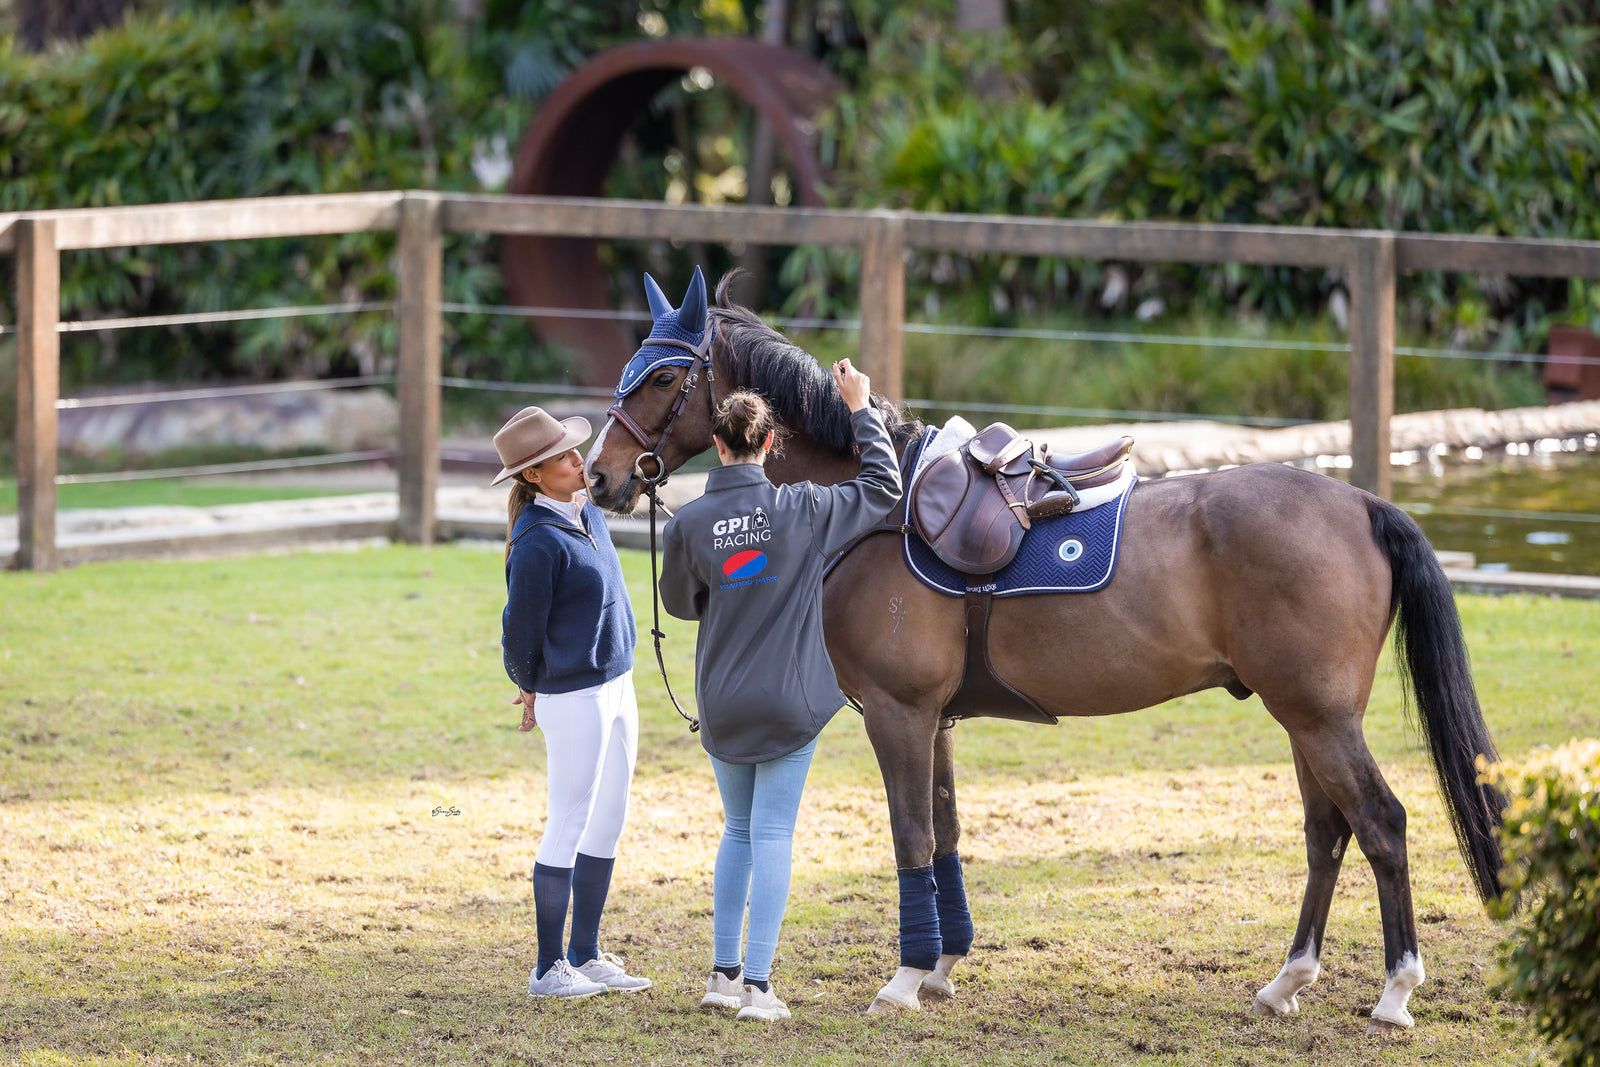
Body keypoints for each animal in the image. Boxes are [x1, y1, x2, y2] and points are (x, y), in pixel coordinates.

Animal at [584, 269, 1505, 1033]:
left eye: (662, 376)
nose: (600, 475)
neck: (877, 508)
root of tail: (1363, 503)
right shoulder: (935, 721)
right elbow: (945, 833)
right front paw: (942, 965)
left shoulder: (897, 714)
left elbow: (910, 836)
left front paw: (904, 978)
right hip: (1306, 718)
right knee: (1328, 831)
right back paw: (1288, 980)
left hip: (1318, 717)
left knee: (1381, 823)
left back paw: (1395, 990)